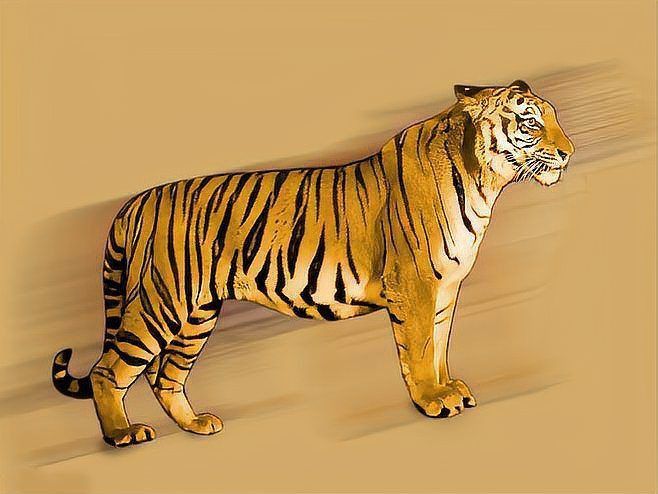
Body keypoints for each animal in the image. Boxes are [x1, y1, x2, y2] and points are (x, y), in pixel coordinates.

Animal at [52, 79, 574, 447]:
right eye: (530, 123)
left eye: (554, 118)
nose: (569, 153)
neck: (484, 180)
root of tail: (136, 201)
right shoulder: (415, 286)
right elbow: (420, 350)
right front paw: (432, 401)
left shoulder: (446, 288)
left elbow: (441, 345)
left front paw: (451, 388)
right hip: (163, 301)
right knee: (108, 370)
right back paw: (121, 435)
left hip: (198, 313)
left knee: (165, 377)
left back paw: (197, 424)